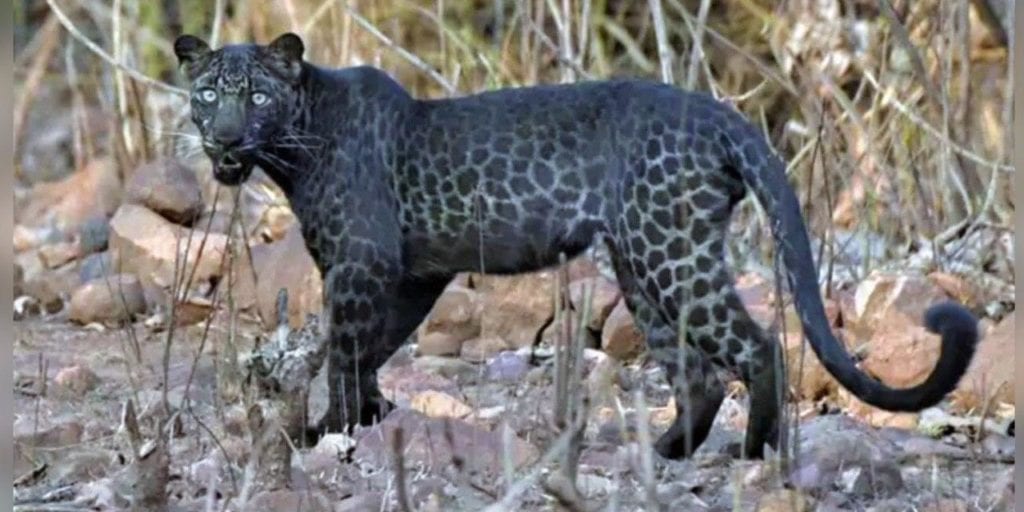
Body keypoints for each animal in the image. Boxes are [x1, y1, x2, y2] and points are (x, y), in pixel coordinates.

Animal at [173, 32, 980, 460]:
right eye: (208, 93)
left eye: (257, 95)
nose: (224, 138)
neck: (295, 145)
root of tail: (720, 114)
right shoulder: (413, 273)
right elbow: (371, 349)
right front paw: (366, 419)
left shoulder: (362, 264)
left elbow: (344, 350)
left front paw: (331, 431)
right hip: (642, 264)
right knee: (698, 374)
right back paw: (662, 454)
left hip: (669, 253)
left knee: (756, 347)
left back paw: (754, 455)